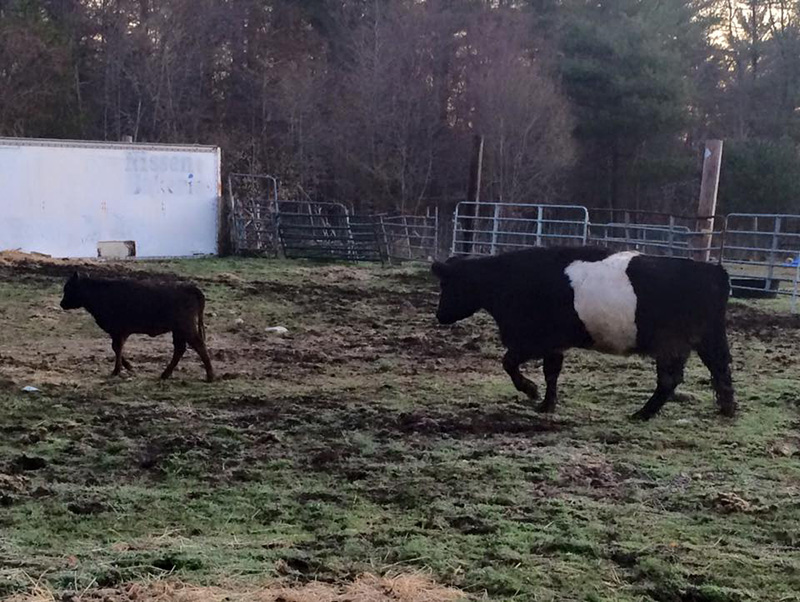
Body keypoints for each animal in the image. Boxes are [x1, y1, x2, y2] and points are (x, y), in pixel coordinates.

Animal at [434, 246, 736, 420]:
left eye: (448, 283)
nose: (439, 315)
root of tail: (712, 271)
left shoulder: (534, 340)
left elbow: (508, 363)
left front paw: (531, 391)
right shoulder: (553, 345)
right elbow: (551, 372)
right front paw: (547, 404)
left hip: (671, 344)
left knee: (670, 380)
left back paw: (642, 414)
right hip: (706, 340)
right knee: (720, 370)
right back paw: (727, 409)